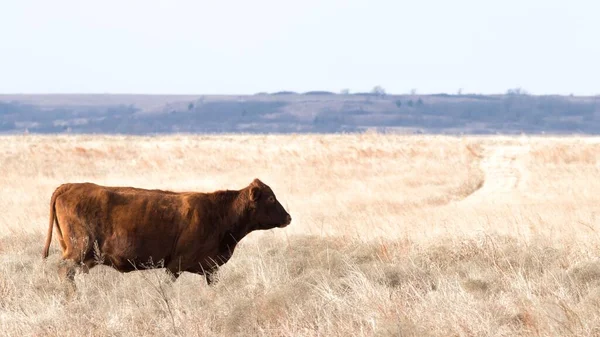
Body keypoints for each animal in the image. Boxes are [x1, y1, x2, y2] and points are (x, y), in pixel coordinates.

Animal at [43, 177, 292, 288]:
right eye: (271, 198)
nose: (288, 217)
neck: (219, 212)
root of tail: (69, 186)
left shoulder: (210, 269)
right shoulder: (175, 266)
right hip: (78, 249)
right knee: (64, 270)